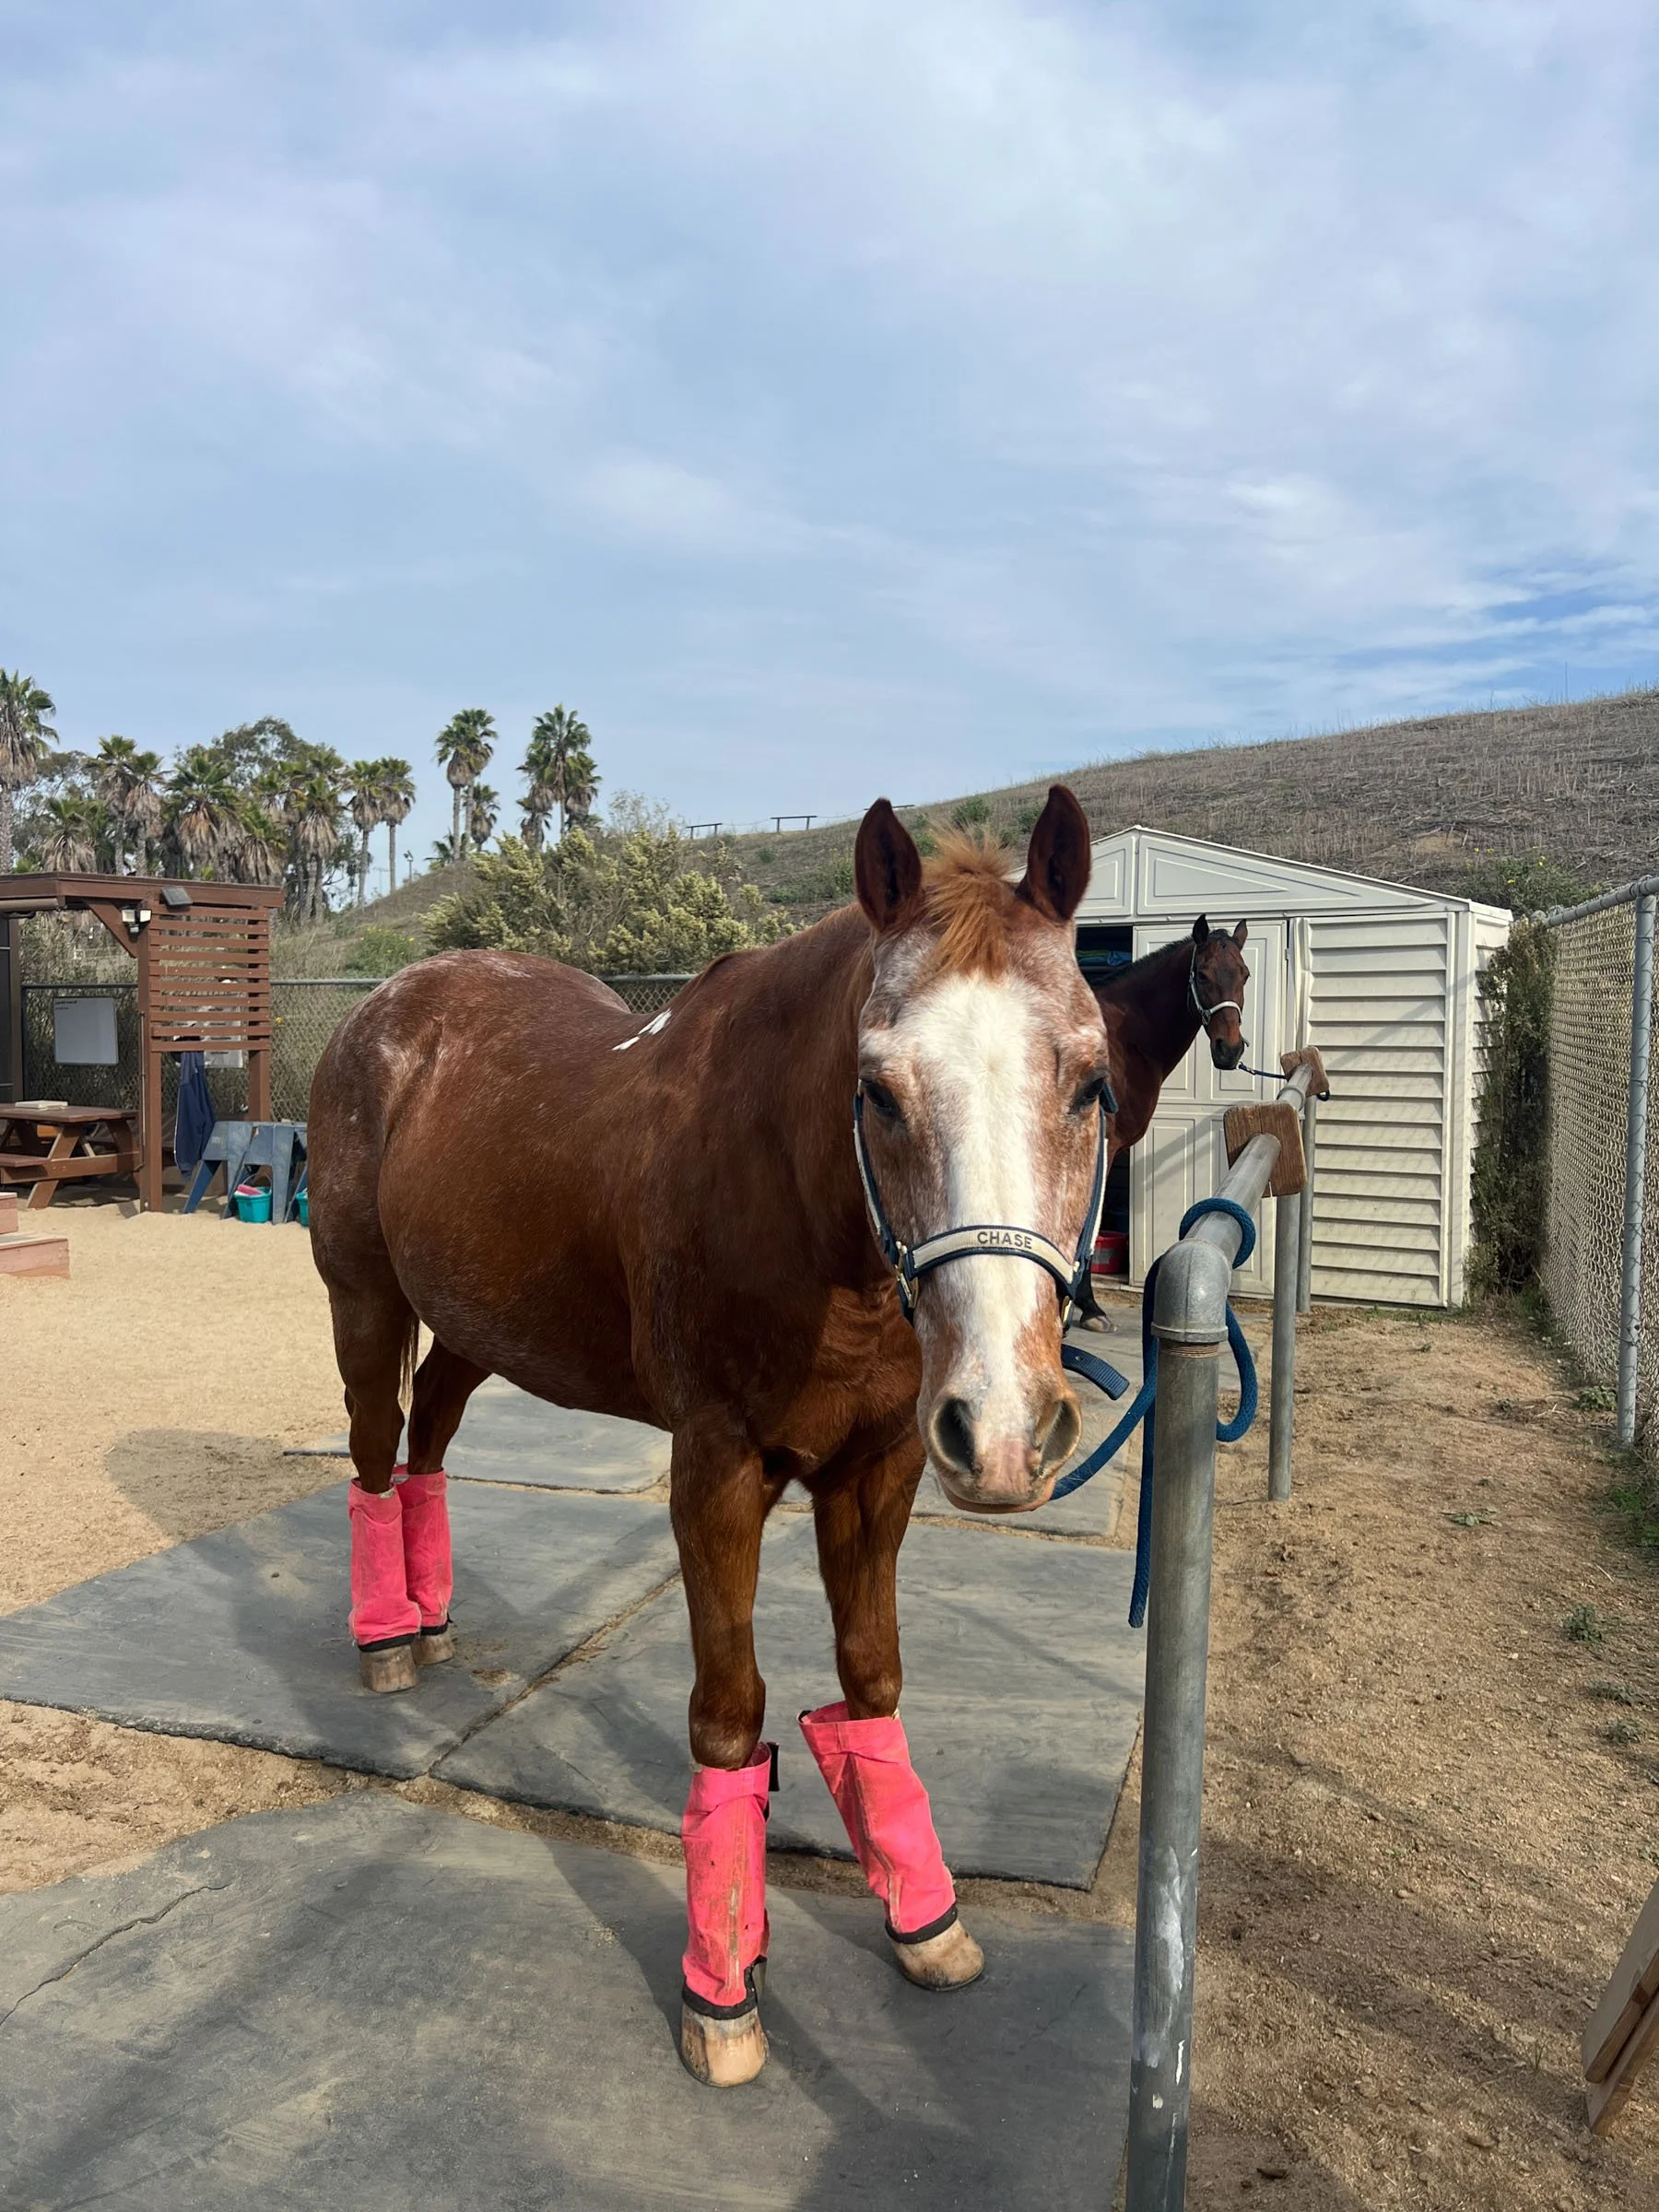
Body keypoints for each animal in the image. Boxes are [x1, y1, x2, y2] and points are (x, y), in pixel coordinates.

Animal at [306, 788, 1113, 2088]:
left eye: (1090, 1081)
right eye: (878, 1090)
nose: (1005, 1430)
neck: (801, 1212)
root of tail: (388, 1008)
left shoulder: (878, 1469)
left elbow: (870, 1681)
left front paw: (924, 1916)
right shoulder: (718, 1471)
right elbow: (729, 1716)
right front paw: (723, 1988)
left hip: (482, 1321)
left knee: (430, 1441)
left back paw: (430, 1619)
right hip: (366, 1299)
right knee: (378, 1447)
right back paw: (386, 1636)